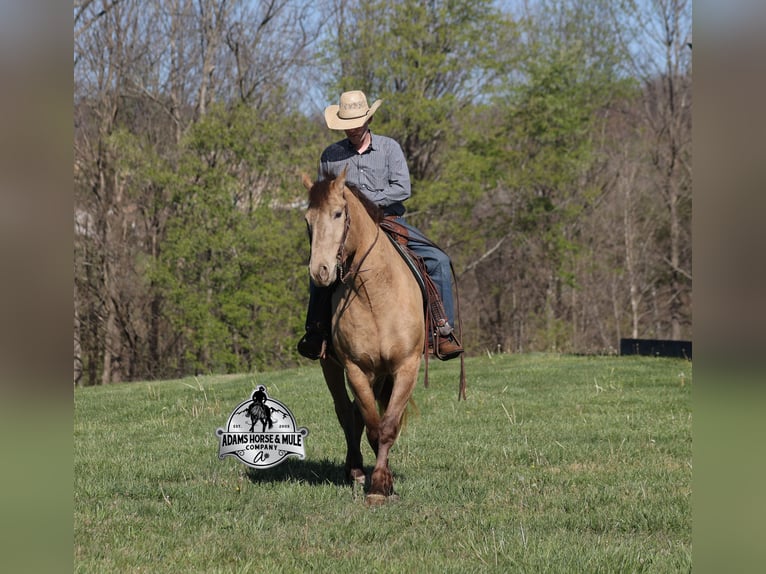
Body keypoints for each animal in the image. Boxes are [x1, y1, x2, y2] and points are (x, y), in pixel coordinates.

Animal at [302, 167, 425, 505]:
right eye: (307, 219)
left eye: (338, 213)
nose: (320, 271)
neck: (375, 294)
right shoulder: (356, 369)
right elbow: (371, 425)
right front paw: (377, 483)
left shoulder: (406, 366)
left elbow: (388, 425)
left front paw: (383, 483)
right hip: (332, 366)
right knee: (347, 413)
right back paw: (355, 469)